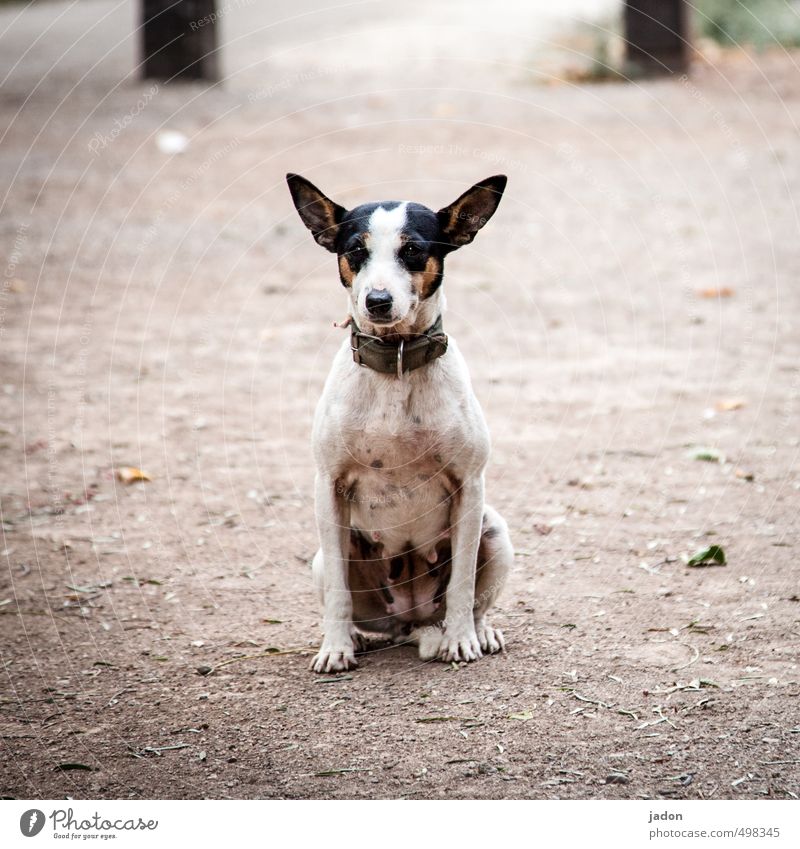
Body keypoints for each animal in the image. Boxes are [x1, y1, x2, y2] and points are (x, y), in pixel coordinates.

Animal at [288, 174, 512, 676]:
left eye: (412, 250)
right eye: (355, 250)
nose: (377, 301)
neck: (397, 365)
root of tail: (413, 620)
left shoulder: (469, 487)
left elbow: (463, 585)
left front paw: (462, 641)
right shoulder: (328, 487)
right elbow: (338, 595)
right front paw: (336, 648)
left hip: (494, 531)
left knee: (475, 601)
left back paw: (477, 632)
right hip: (325, 557)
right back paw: (356, 637)